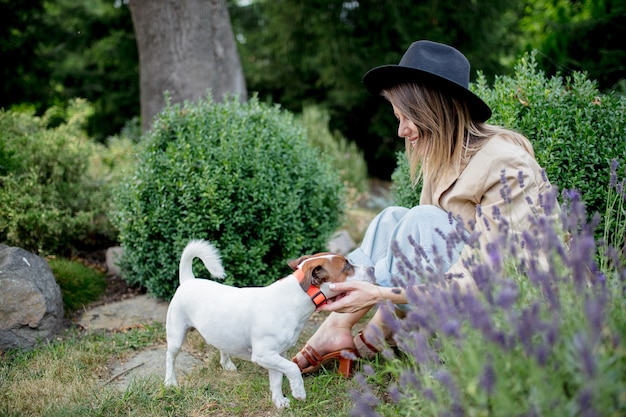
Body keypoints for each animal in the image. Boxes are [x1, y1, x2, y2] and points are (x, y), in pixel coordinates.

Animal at [163, 239, 372, 408]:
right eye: (347, 266)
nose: (372, 269)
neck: (295, 298)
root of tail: (188, 281)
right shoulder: (264, 354)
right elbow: (293, 368)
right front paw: (299, 391)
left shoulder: (277, 354)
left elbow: (277, 380)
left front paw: (278, 401)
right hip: (176, 336)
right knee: (170, 358)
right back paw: (170, 381)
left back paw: (227, 363)